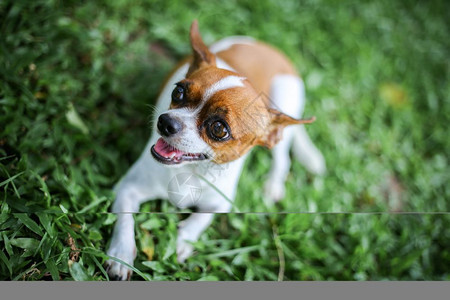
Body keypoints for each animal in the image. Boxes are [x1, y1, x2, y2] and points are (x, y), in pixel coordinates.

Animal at [105, 21, 324, 282]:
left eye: (219, 129)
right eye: (178, 92)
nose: (165, 122)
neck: (191, 171)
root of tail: (270, 49)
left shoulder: (220, 203)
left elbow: (201, 219)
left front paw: (181, 241)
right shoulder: (127, 189)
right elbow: (125, 220)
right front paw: (121, 255)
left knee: (282, 158)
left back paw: (272, 185)